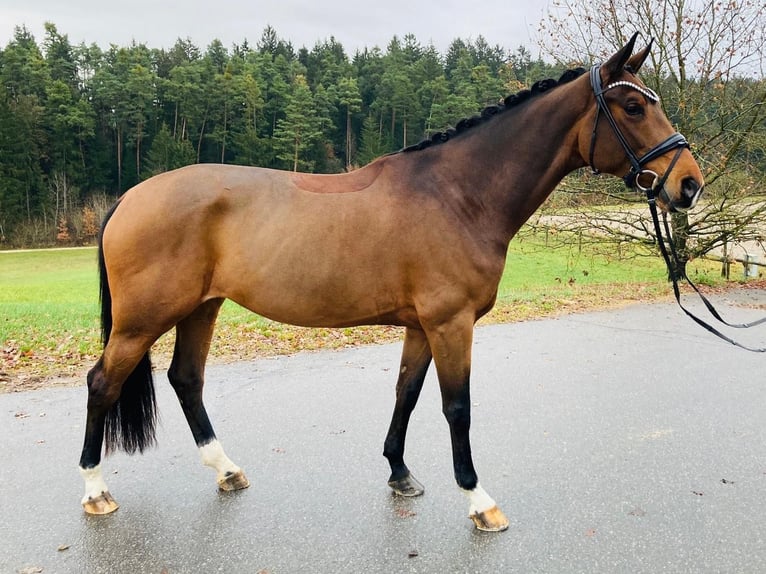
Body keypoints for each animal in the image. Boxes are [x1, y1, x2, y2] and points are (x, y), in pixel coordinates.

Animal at [79, 33, 708, 532]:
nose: (689, 184)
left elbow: (406, 392)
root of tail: (131, 197)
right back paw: (96, 491)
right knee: (102, 383)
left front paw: (400, 474)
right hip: (143, 320)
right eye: (632, 106)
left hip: (201, 307)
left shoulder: (421, 325)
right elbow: (457, 407)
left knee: (186, 380)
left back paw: (227, 471)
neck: (458, 194)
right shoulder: (451, 323)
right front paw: (479, 501)